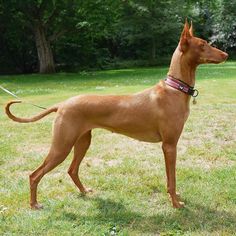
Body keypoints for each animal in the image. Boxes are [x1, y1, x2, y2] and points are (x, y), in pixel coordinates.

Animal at [4, 21, 228, 209]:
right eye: (203, 45)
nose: (226, 55)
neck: (174, 89)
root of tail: (62, 104)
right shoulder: (169, 145)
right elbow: (171, 179)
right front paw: (175, 203)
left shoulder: (169, 146)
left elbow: (170, 179)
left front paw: (176, 198)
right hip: (62, 146)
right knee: (34, 175)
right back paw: (34, 204)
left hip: (82, 141)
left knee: (72, 170)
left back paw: (84, 192)